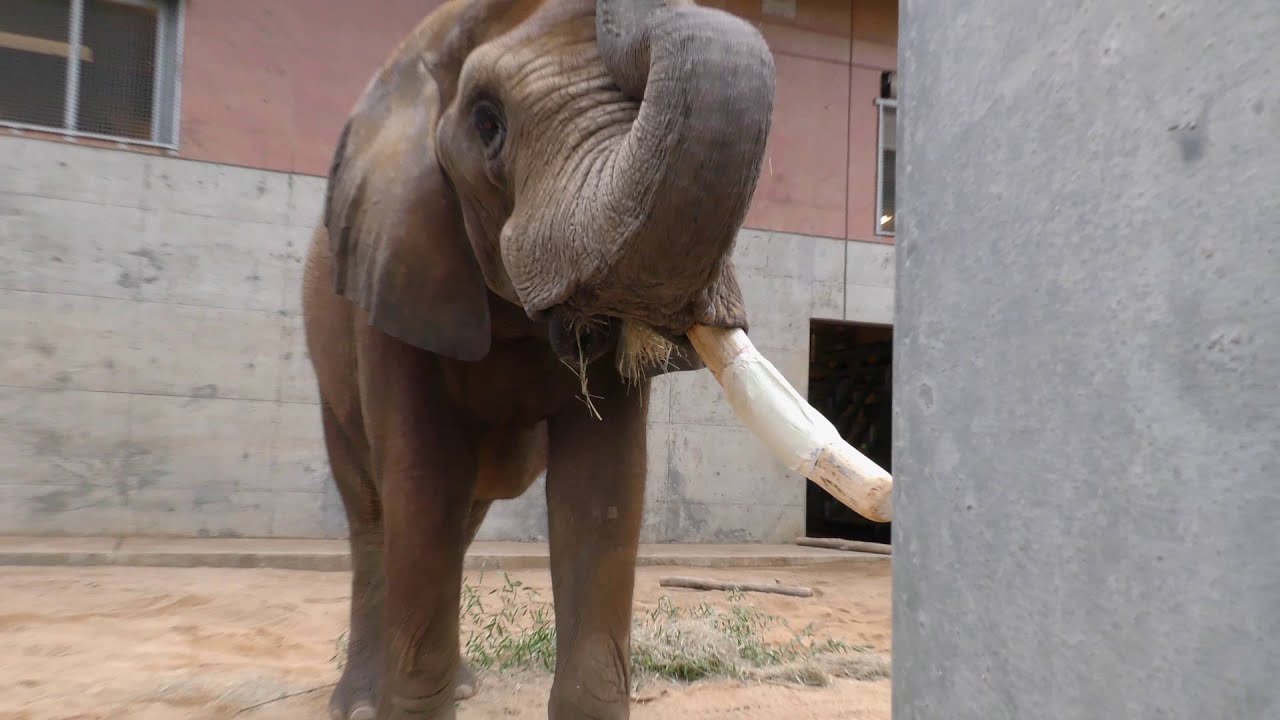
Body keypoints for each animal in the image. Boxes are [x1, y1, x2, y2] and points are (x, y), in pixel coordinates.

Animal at [300, 0, 774, 717]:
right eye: (486, 123)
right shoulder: (393, 278)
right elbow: (422, 478)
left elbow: (603, 489)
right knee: (376, 514)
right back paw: (358, 702)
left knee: (464, 514)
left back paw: (463, 685)